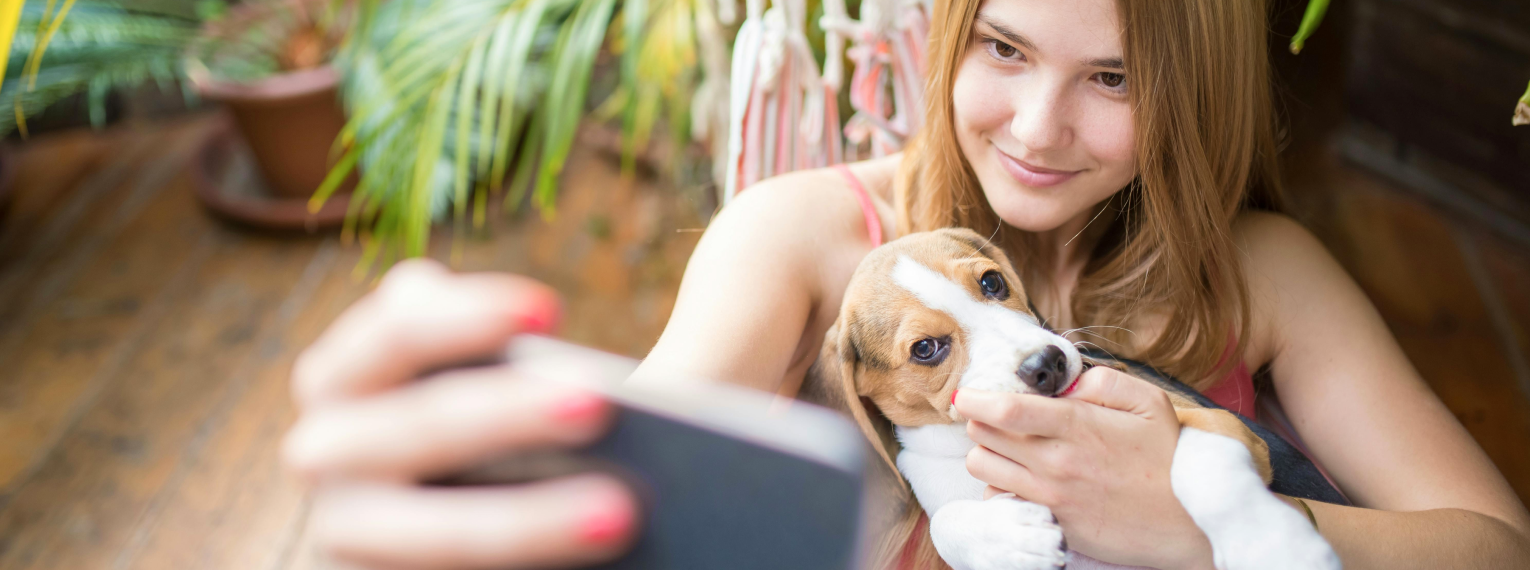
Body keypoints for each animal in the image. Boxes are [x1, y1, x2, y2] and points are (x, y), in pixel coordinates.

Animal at [801, 229, 1340, 568]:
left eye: (992, 281)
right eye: (925, 349)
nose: (1048, 363)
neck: (972, 441)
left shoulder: (1223, 427)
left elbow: (1204, 462)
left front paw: (1272, 546)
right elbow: (944, 521)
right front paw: (1009, 539)